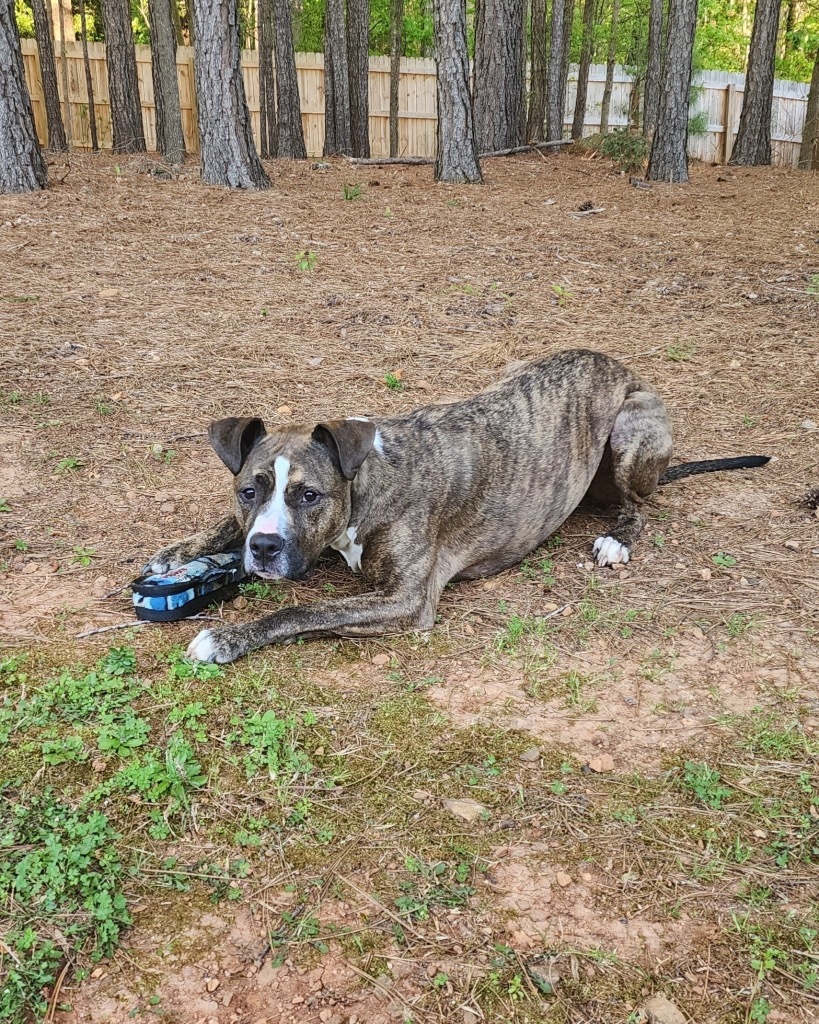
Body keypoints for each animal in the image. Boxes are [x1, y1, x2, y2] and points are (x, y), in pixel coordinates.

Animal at [145, 348, 769, 663]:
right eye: (248, 491)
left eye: (309, 495)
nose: (266, 548)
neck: (367, 481)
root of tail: (621, 365)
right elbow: (223, 530)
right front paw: (179, 553)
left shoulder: (405, 601)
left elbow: (302, 613)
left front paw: (227, 638)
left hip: (631, 431)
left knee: (640, 503)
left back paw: (618, 537)